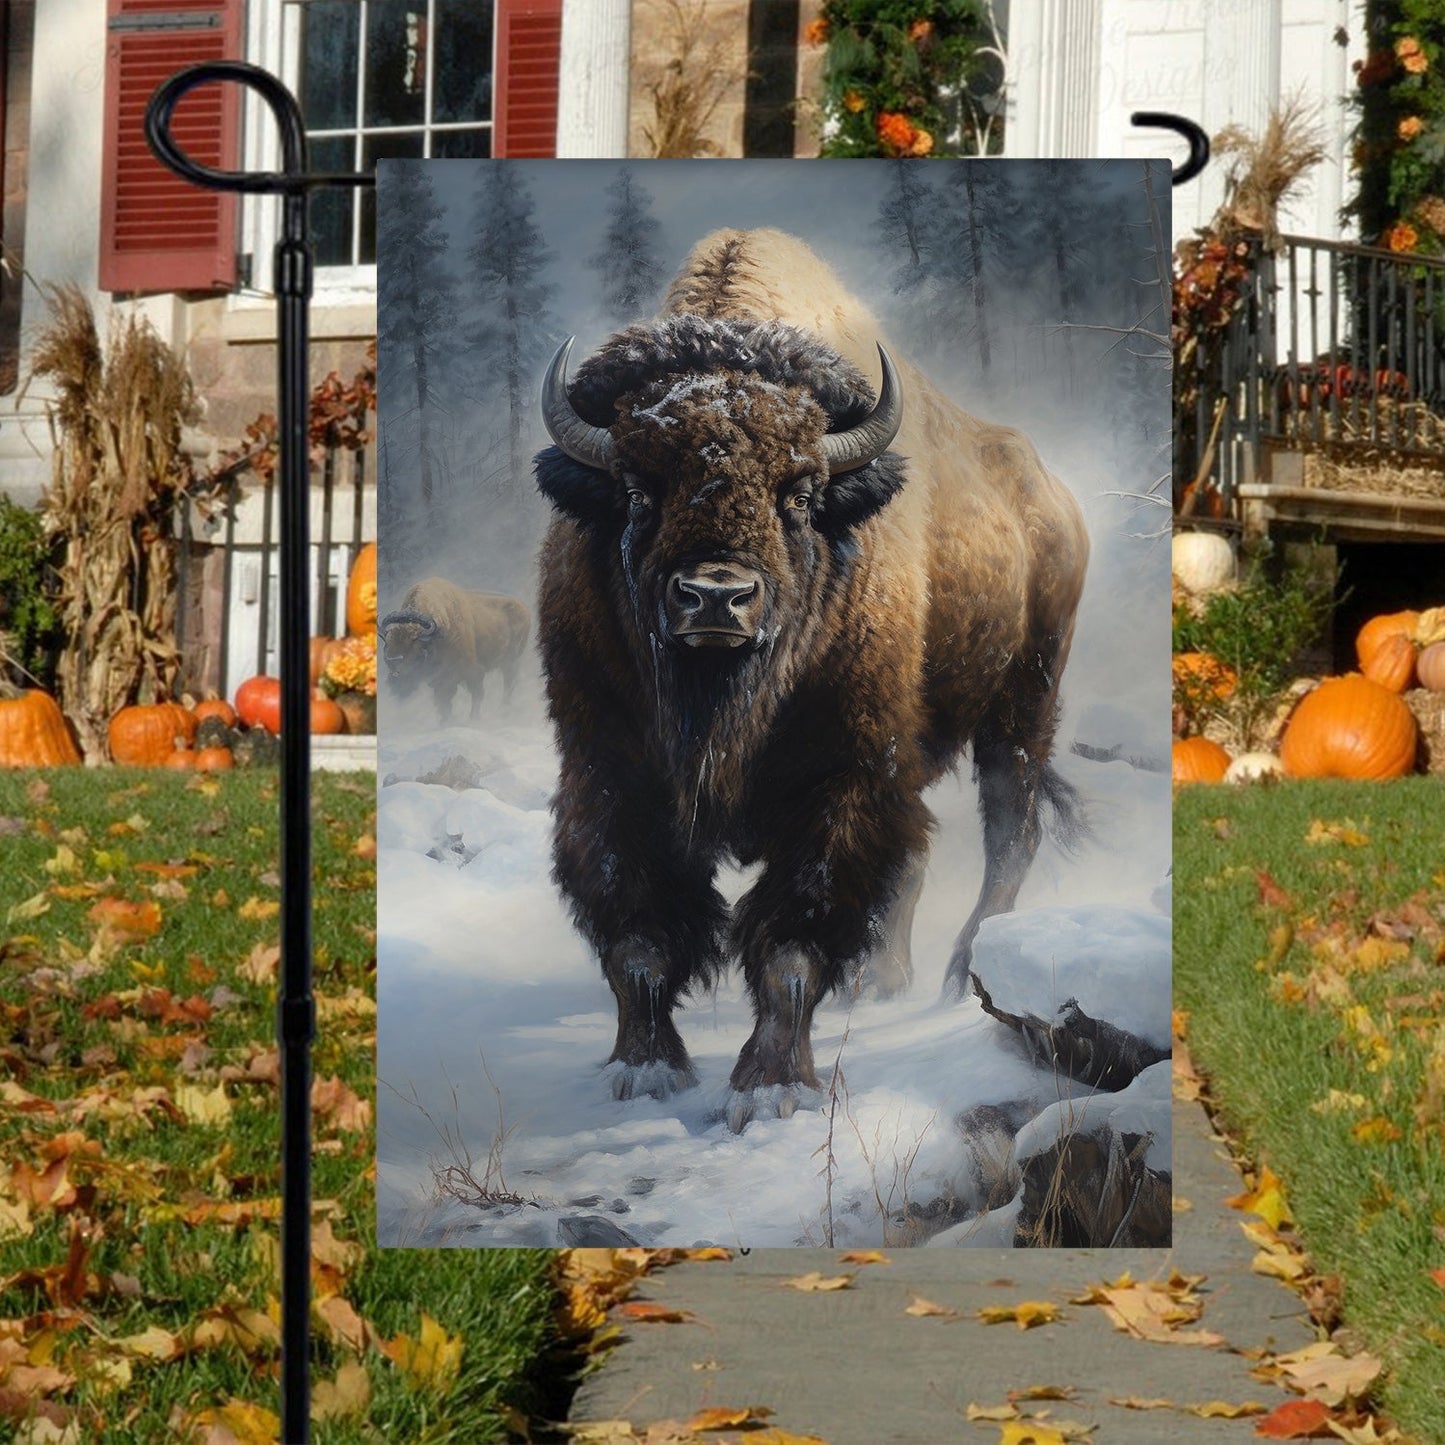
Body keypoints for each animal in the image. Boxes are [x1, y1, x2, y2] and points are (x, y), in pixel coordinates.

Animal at [378, 578, 531, 728]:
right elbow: (443, 701)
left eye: (414, 644)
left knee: (508, 685)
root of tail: (524, 608)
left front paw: (473, 719)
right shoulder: (439, 678)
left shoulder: (470, 672)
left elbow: (474, 694)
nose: (394, 661)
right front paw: (445, 721)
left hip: (511, 662)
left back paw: (504, 711)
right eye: (388, 641)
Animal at [531, 228, 1086, 1127]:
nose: (715, 596)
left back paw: (957, 976)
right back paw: (881, 978)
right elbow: (637, 931)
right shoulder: (607, 769)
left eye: (797, 494)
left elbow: (793, 936)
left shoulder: (842, 777)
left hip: (1022, 707)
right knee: (924, 854)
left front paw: (769, 1086)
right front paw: (644, 1068)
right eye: (639, 489)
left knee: (1010, 833)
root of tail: (1051, 495)